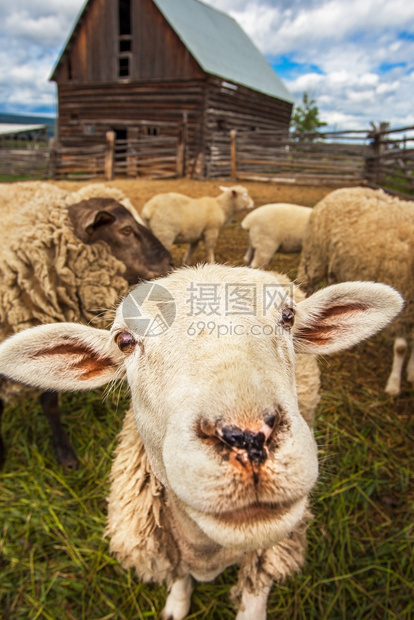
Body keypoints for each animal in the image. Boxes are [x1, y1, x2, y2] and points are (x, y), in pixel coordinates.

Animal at [0, 262, 402, 620]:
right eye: (124, 341)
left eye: (288, 317)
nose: (248, 439)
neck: (209, 551)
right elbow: (179, 579)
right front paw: (176, 605)